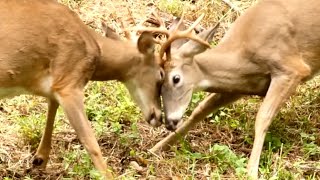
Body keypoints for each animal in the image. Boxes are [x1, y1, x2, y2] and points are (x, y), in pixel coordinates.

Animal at [149, 0, 320, 178]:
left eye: (176, 78)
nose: (169, 122)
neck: (243, 53)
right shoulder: (243, 84)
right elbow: (201, 109)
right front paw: (156, 148)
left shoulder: (291, 69)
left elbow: (263, 118)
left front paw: (251, 171)